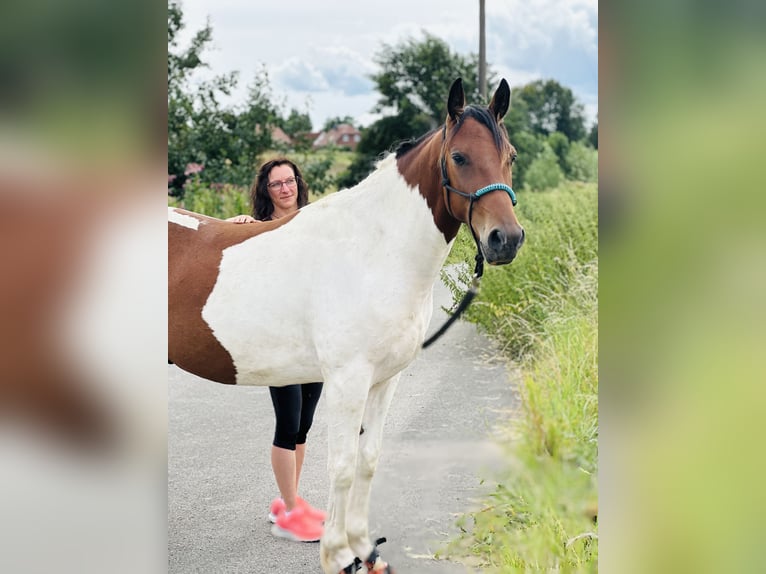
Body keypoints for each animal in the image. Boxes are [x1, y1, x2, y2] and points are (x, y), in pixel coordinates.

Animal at [168, 80, 528, 574]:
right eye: (459, 157)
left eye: (510, 155)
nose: (505, 240)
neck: (374, 250)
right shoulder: (347, 379)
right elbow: (340, 464)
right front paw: (337, 554)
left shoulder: (384, 380)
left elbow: (368, 459)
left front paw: (363, 549)